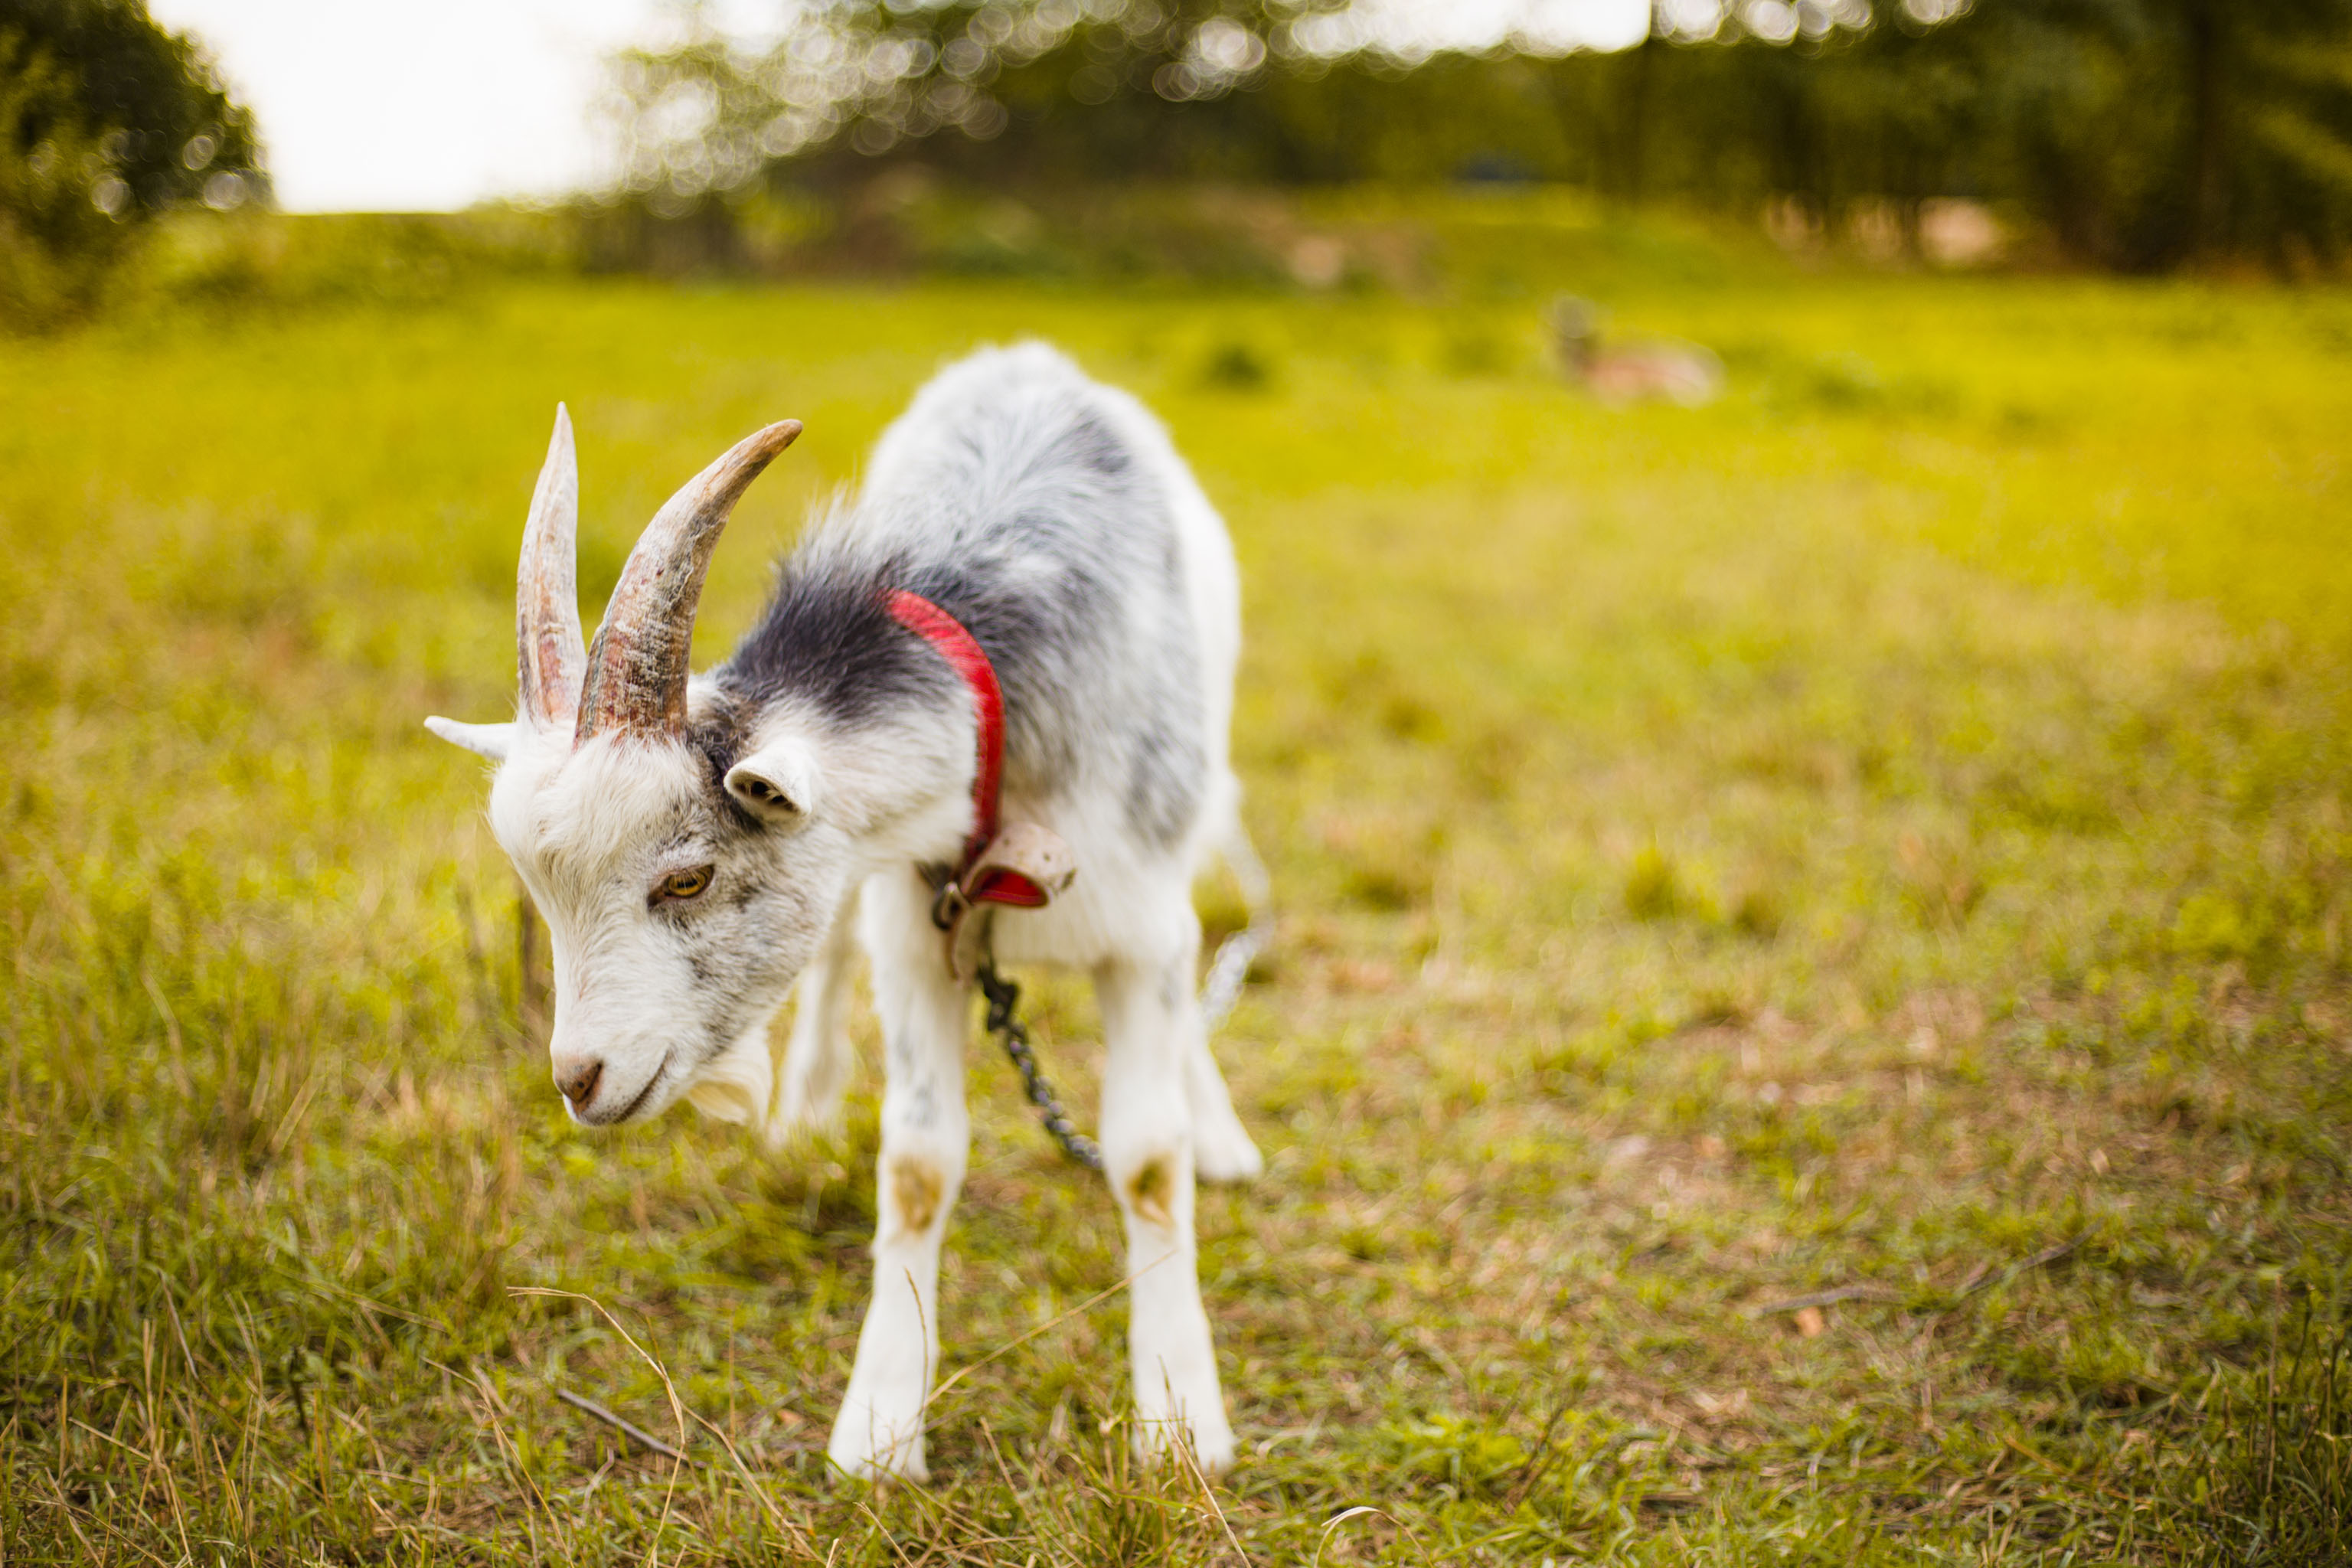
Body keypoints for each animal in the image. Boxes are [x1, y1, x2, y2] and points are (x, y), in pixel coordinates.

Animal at [423, 345, 1269, 1485]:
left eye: (686, 879)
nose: (579, 1079)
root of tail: (1027, 356)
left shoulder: (1140, 924)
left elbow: (1145, 1160)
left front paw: (1179, 1418)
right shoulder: (917, 925)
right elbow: (916, 1164)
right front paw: (881, 1424)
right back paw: (805, 1110)